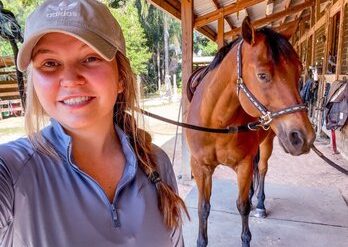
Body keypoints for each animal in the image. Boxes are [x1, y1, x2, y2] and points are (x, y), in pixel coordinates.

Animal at [185, 18, 316, 247]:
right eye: (262, 75)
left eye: (298, 72)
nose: (303, 137)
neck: (216, 124)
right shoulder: (200, 167)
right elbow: (203, 208)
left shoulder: (243, 165)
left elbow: (243, 206)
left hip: (267, 143)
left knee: (261, 170)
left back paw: (260, 204)